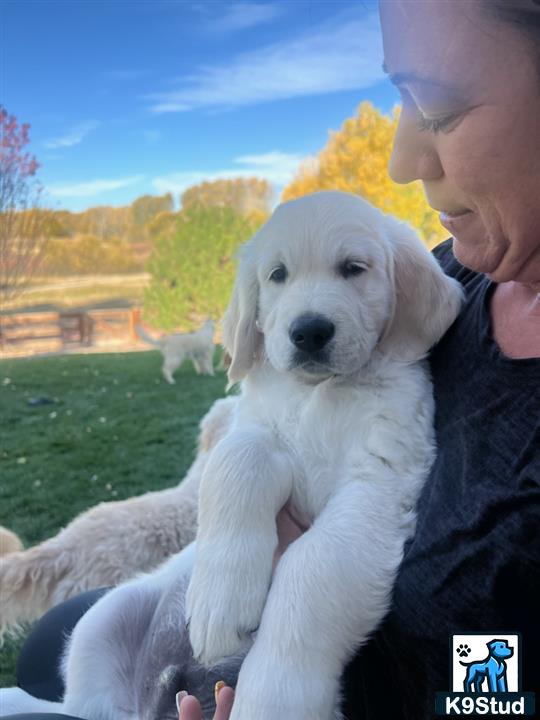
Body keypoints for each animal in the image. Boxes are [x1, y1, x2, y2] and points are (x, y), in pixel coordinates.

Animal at [1, 191, 464, 720]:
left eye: (354, 268)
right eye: (277, 275)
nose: (309, 332)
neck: (319, 391)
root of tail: (149, 703)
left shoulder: (380, 479)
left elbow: (312, 566)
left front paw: (272, 697)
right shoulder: (254, 426)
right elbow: (236, 464)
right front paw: (220, 601)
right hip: (100, 622)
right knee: (77, 702)